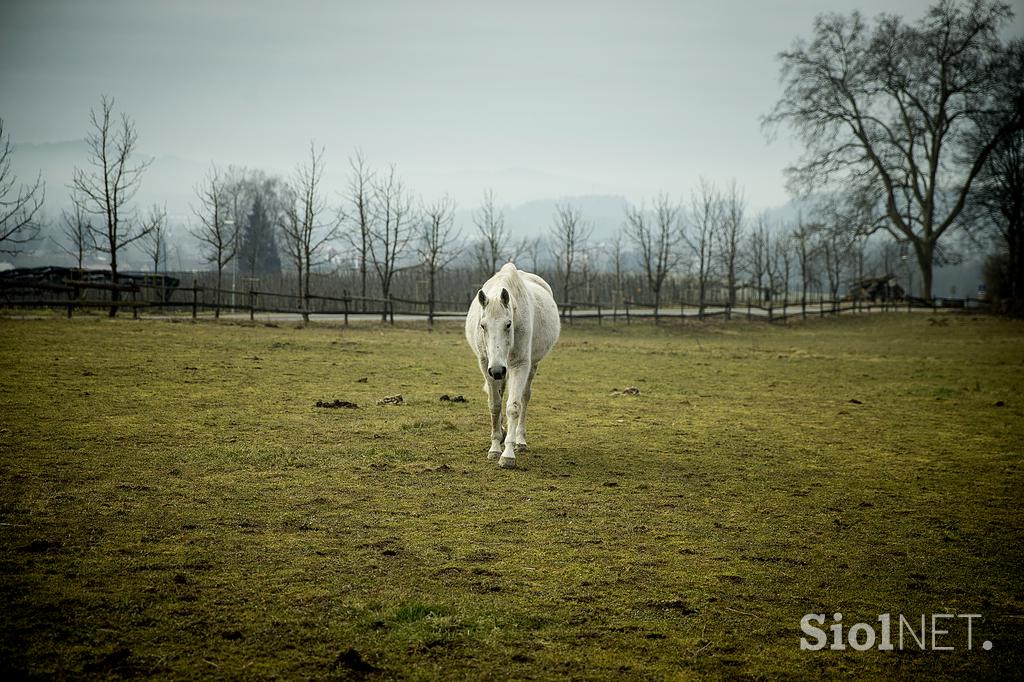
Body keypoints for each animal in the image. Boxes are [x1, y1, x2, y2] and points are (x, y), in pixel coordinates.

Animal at [466, 261, 561, 466]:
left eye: (508, 324)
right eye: (483, 325)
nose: (497, 369)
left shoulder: (520, 365)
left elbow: (514, 407)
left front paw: (508, 455)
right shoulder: (486, 365)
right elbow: (495, 405)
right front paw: (495, 447)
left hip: (529, 366)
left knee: (524, 398)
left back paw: (520, 441)